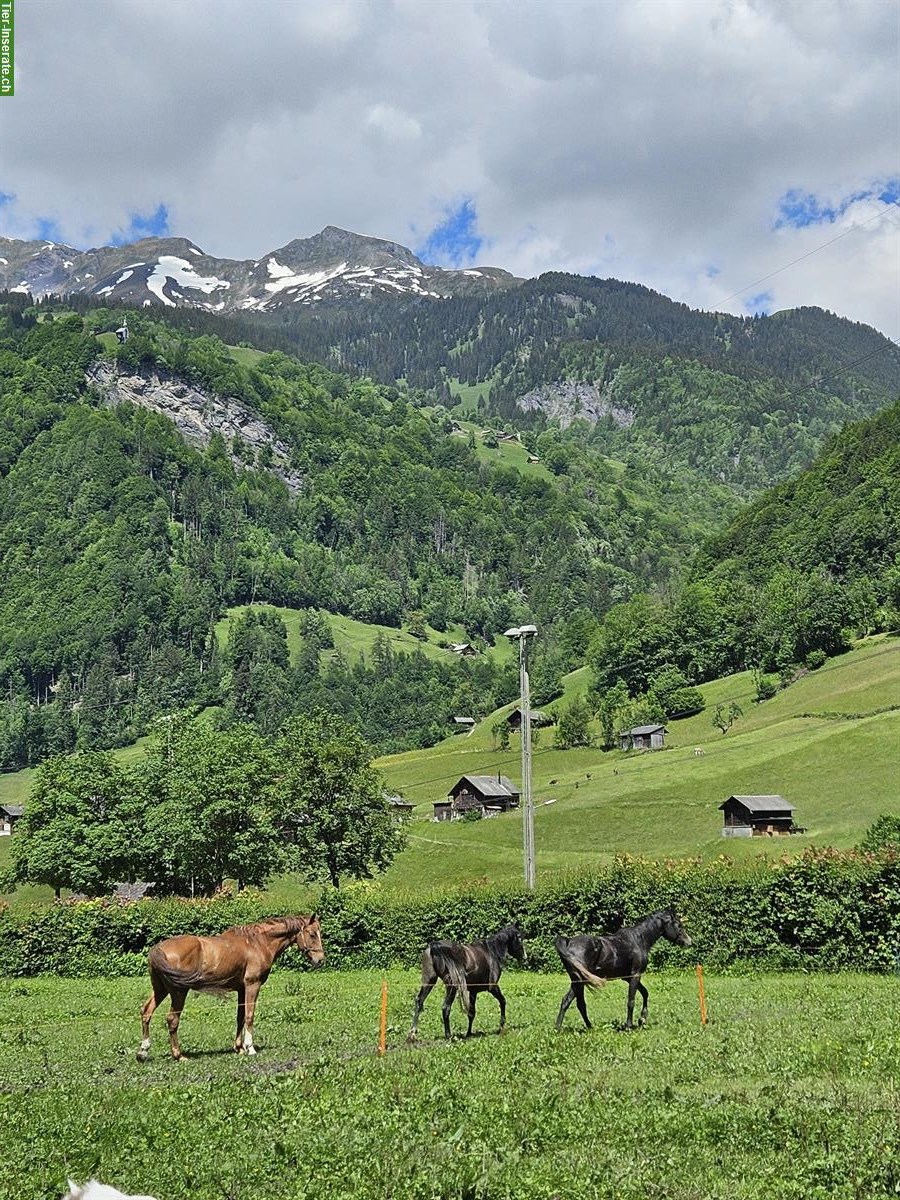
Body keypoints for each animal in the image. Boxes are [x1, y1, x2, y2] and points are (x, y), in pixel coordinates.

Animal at [136, 916, 324, 1060]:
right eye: (312, 934)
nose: (321, 960)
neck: (257, 943)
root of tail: (157, 949)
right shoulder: (252, 985)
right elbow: (249, 1016)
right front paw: (250, 1048)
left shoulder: (241, 989)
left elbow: (240, 1017)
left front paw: (239, 1048)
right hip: (178, 992)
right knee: (172, 1020)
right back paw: (178, 1055)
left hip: (160, 990)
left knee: (146, 1012)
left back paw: (143, 1051)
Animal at [556, 907, 691, 1032]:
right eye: (678, 924)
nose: (689, 942)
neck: (639, 940)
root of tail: (568, 942)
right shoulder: (635, 975)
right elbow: (631, 1001)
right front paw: (629, 1026)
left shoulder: (627, 977)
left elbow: (645, 993)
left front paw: (642, 1019)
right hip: (580, 982)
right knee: (572, 1002)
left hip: (578, 981)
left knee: (573, 1003)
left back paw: (578, 1028)